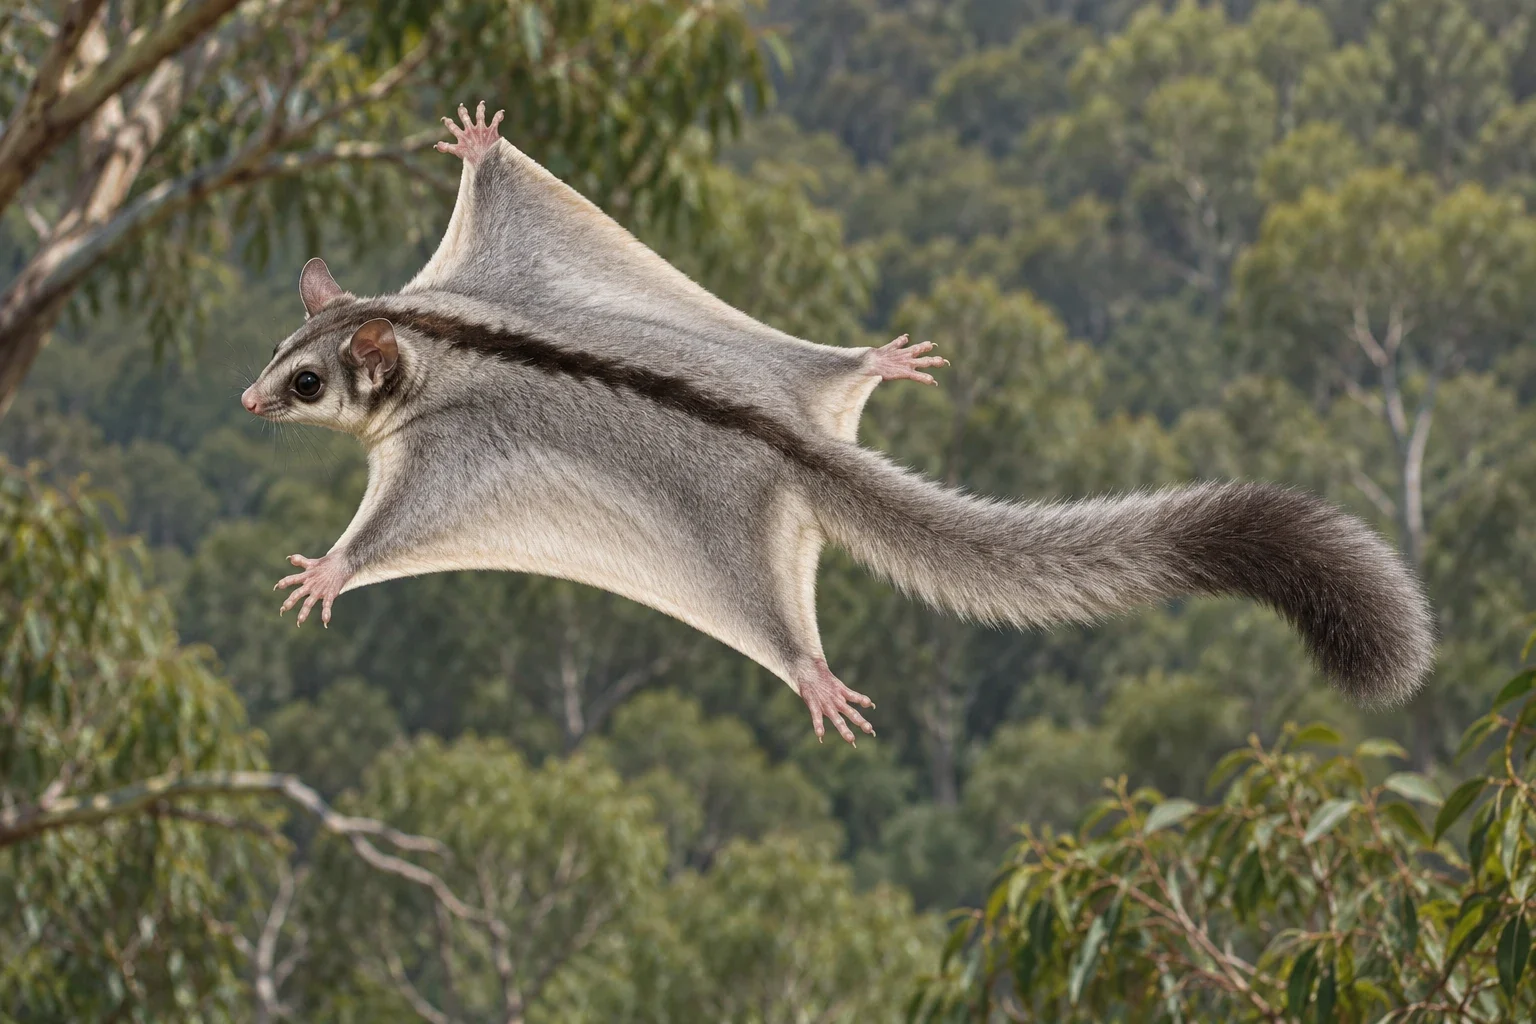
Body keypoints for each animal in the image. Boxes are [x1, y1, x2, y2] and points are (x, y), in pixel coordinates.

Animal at [240, 103, 1434, 744]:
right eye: (277, 354)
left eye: (306, 384)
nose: (247, 399)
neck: (427, 332)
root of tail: (796, 440)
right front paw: (484, 148)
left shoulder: (441, 451)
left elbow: (383, 531)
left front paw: (328, 572)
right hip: (783, 367)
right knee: (835, 370)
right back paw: (872, 362)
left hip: (729, 546)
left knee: (773, 619)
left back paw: (807, 669)